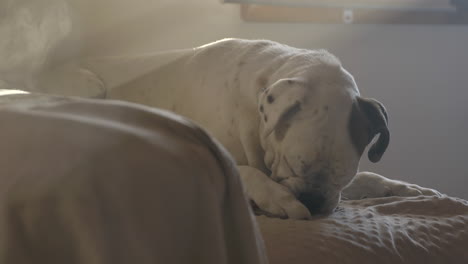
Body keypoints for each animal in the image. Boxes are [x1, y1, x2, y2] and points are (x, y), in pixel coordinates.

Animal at [106, 39, 438, 220]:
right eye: (293, 164)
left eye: (342, 177)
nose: (314, 201)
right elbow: (243, 170)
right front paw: (278, 197)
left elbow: (366, 179)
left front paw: (398, 187)